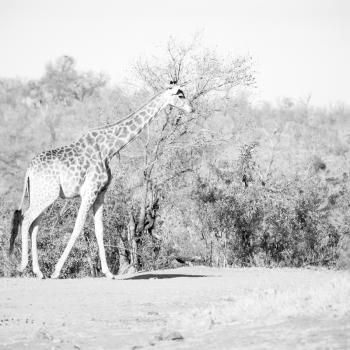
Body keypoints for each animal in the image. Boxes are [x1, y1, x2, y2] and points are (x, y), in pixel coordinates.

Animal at [9, 82, 194, 278]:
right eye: (180, 96)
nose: (192, 108)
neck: (108, 149)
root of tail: (29, 170)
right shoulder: (89, 191)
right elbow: (78, 226)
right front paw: (57, 271)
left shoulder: (100, 193)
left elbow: (100, 229)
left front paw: (108, 273)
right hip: (47, 195)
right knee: (26, 218)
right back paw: (23, 266)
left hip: (42, 195)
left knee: (34, 225)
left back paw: (38, 271)